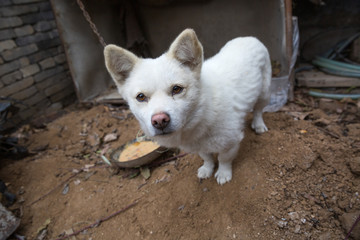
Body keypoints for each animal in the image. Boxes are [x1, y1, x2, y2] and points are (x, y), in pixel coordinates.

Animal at [103, 29, 270, 185]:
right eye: (141, 97)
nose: (160, 121)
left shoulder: (231, 142)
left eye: (177, 89)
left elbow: (224, 159)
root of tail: (249, 37)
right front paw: (207, 169)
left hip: (264, 94)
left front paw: (223, 173)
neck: (202, 112)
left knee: (258, 110)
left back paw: (258, 125)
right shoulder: (199, 146)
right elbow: (207, 157)